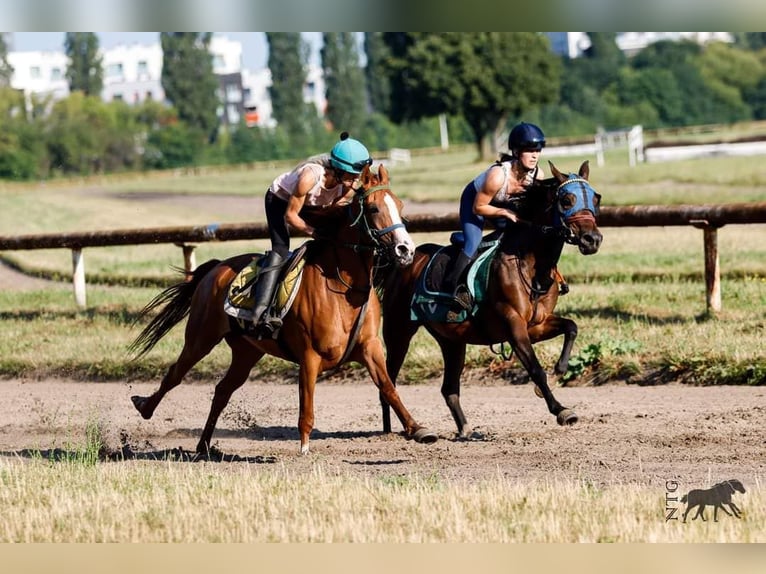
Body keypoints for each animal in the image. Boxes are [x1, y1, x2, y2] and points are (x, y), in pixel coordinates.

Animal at [129, 164, 436, 456]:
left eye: (400, 205)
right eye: (373, 208)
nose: (406, 250)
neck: (343, 286)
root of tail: (215, 268)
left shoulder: (370, 347)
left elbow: (388, 388)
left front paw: (418, 429)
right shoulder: (309, 355)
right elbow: (306, 405)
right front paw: (304, 447)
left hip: (246, 351)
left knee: (222, 390)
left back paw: (204, 446)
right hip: (200, 337)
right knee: (175, 374)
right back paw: (144, 406)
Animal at [380, 162, 604, 440]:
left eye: (596, 199)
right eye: (566, 200)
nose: (592, 240)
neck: (531, 265)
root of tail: (402, 264)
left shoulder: (536, 325)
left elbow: (571, 327)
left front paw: (560, 371)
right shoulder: (513, 323)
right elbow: (535, 369)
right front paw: (561, 410)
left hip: (452, 341)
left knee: (448, 388)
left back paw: (465, 429)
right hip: (398, 332)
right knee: (387, 381)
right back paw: (391, 430)